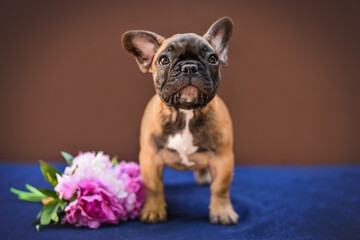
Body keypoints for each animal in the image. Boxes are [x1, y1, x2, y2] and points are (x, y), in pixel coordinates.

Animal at [122, 16, 238, 225]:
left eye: (213, 59)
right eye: (164, 60)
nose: (190, 67)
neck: (186, 113)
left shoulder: (223, 158)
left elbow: (220, 187)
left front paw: (223, 212)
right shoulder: (150, 158)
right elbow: (154, 187)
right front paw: (153, 210)